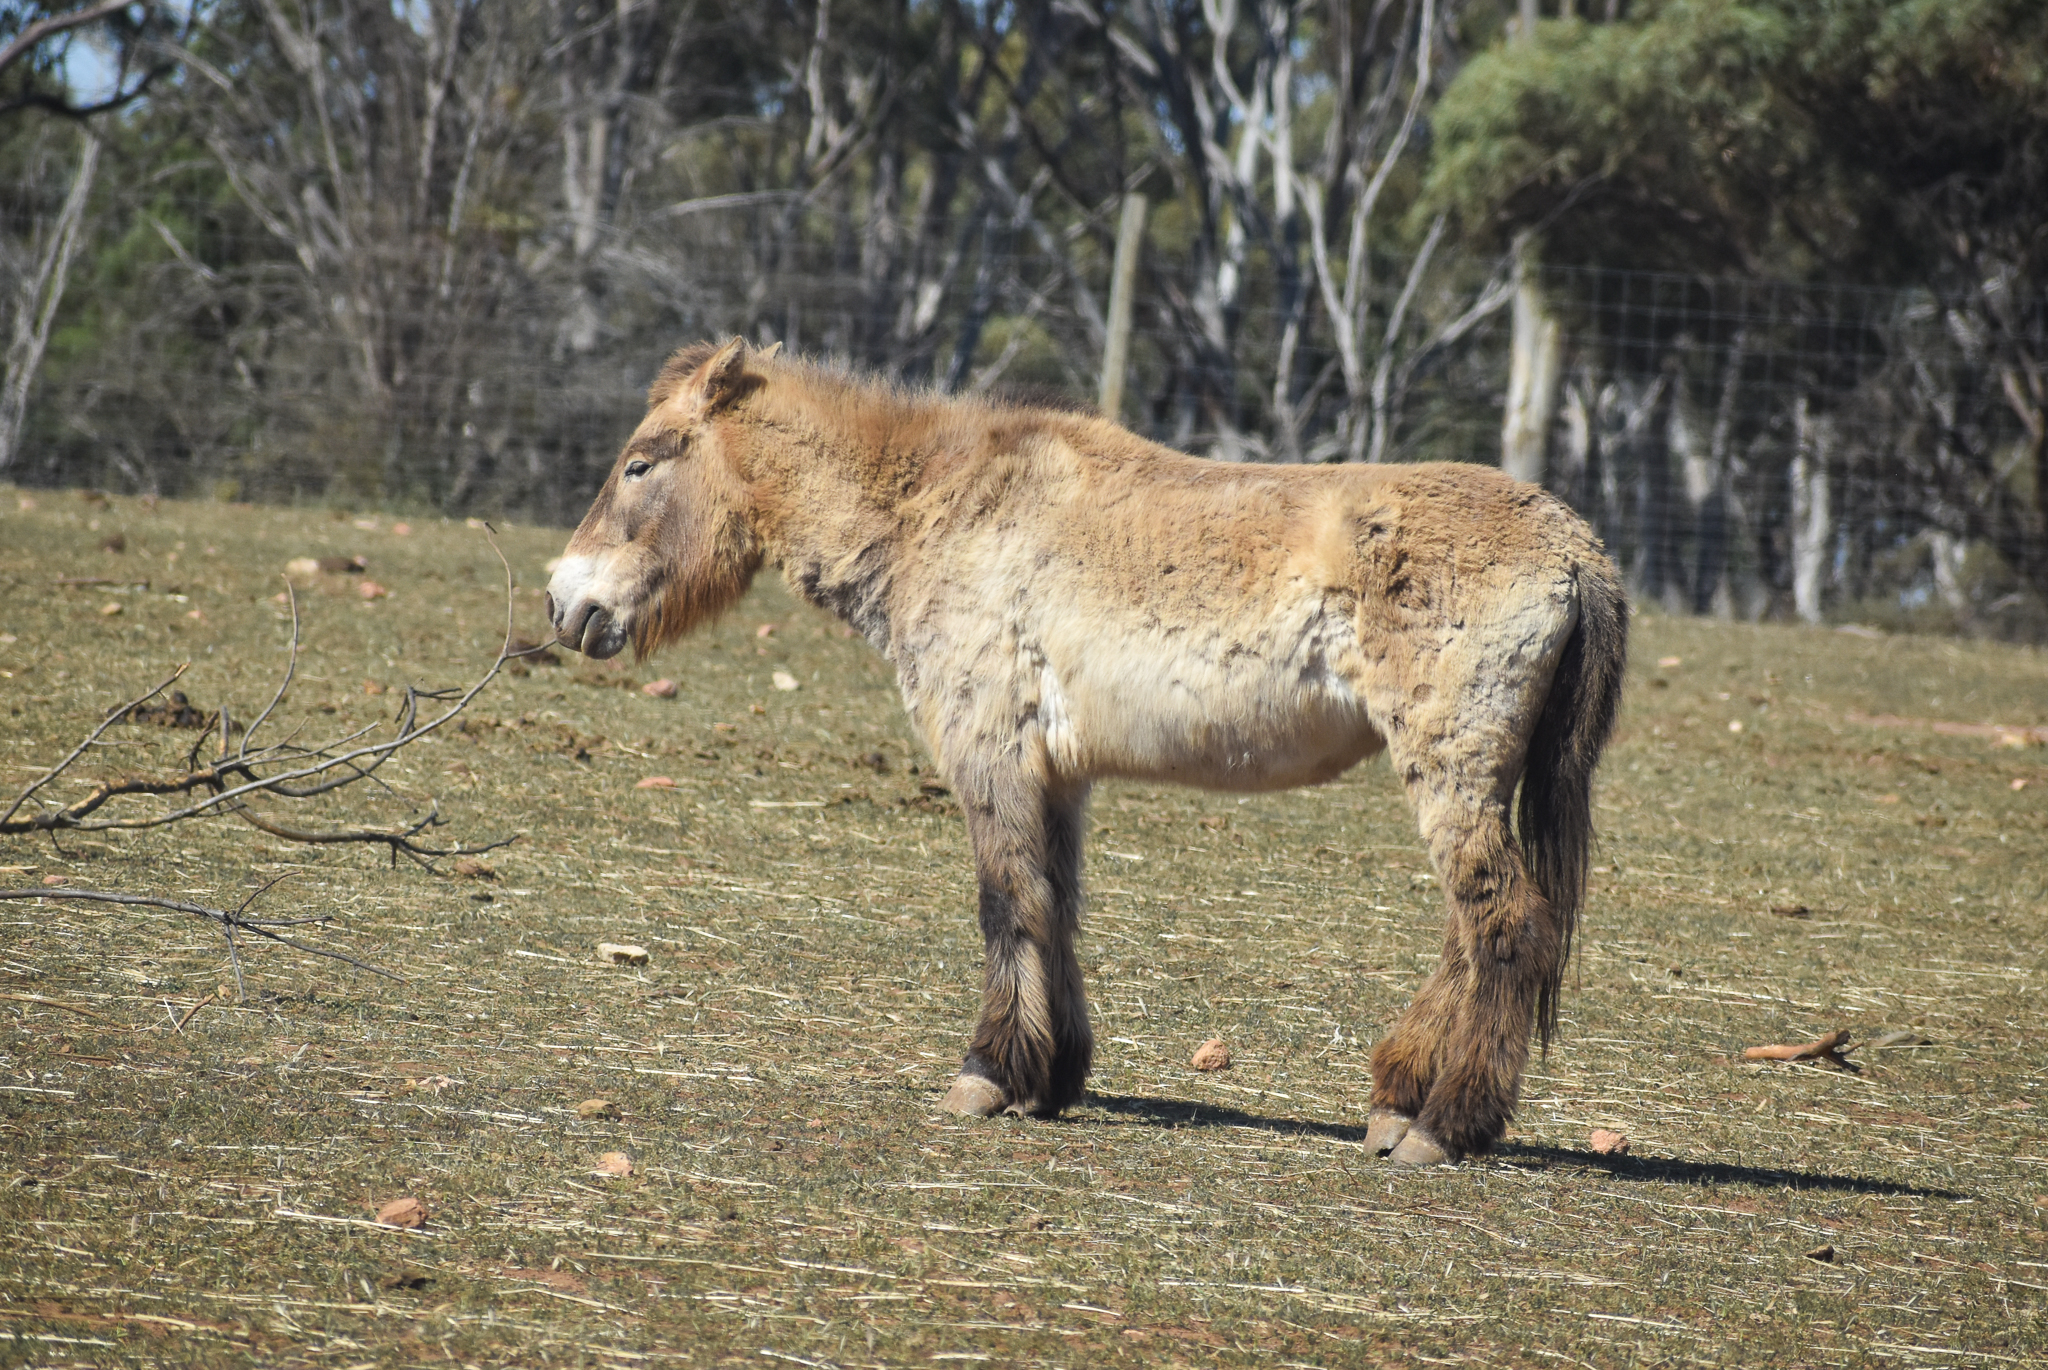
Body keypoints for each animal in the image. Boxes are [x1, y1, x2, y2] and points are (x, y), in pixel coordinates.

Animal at [545, 338, 1627, 1165]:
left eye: (641, 463)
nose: (564, 601)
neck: (941, 507)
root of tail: (1576, 549)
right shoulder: (1056, 777)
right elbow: (1053, 906)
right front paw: (1051, 1076)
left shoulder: (989, 756)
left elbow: (1005, 903)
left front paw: (986, 1076)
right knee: (1467, 935)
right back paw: (1399, 1101)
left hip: (1451, 772)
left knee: (1503, 928)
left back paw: (1443, 1127)